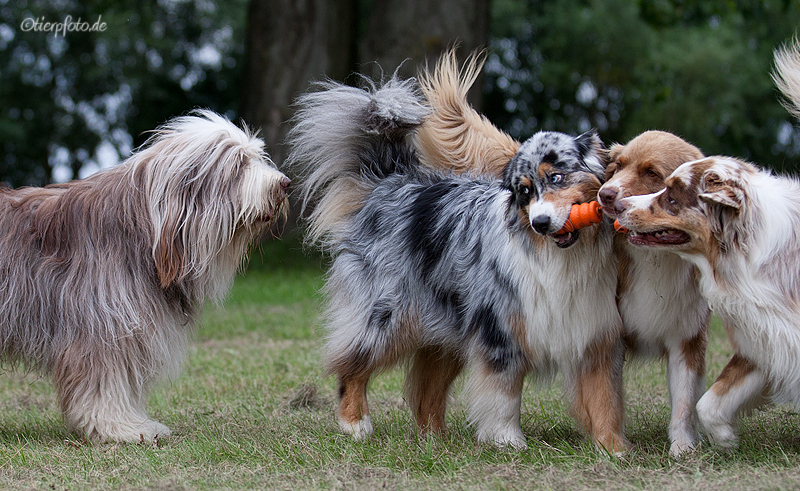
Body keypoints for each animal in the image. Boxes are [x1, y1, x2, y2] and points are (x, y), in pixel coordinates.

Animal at [0, 110, 288, 442]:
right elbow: (104, 381)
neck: (145, 232)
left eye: (256, 157)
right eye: (239, 164)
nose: (285, 184)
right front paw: (120, 427)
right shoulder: (103, 325)